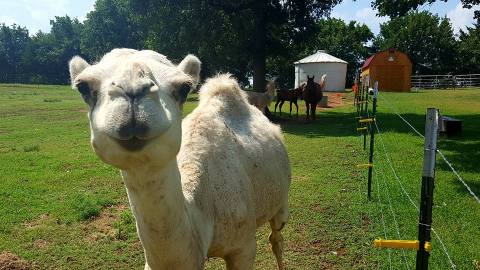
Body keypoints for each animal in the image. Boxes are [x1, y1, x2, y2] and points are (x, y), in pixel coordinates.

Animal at [69, 49, 290, 270]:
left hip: (281, 200)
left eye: (184, 88)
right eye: (83, 87)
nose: (133, 92)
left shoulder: (243, 248)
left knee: (276, 238)